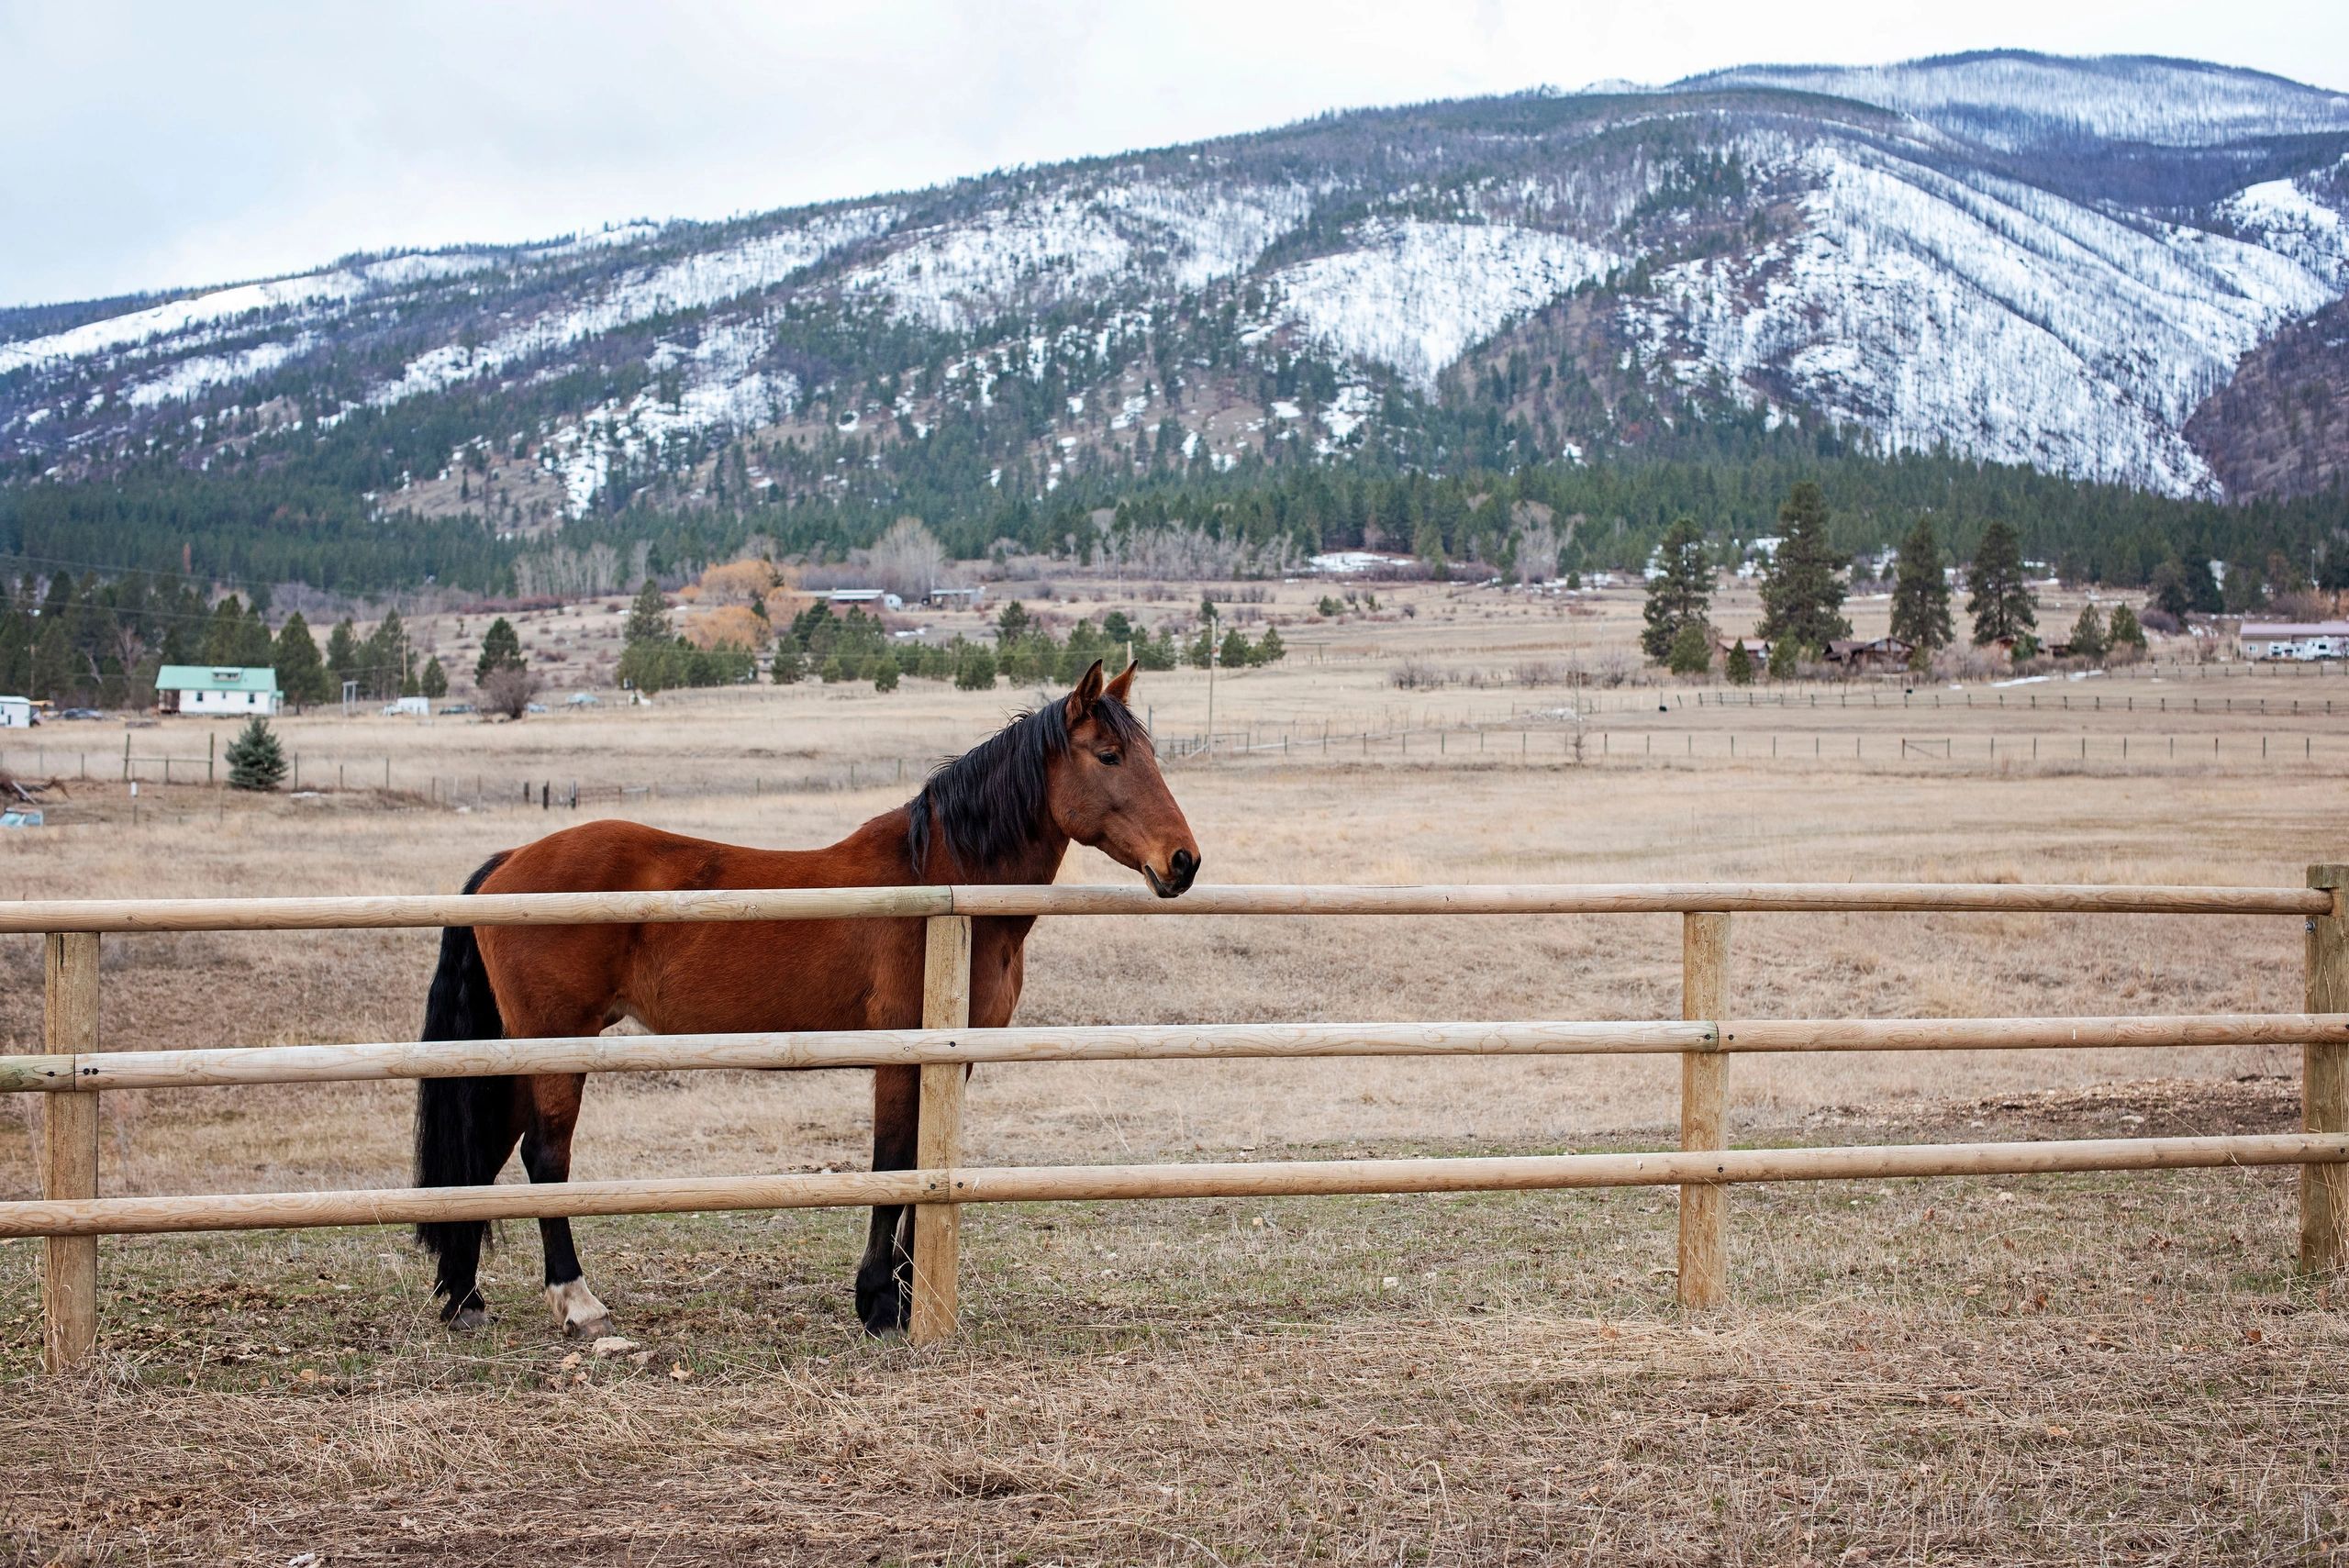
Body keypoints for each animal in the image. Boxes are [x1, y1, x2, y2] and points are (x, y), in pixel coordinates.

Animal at [411, 659, 1200, 1337]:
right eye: (1108, 756)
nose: (1183, 861)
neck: (941, 877)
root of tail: (508, 864)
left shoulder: (950, 1059)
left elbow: (920, 1163)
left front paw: (901, 1293)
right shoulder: (899, 1055)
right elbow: (893, 1163)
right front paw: (879, 1302)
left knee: (487, 1157)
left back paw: (465, 1297)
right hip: (558, 1042)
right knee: (545, 1155)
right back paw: (576, 1301)